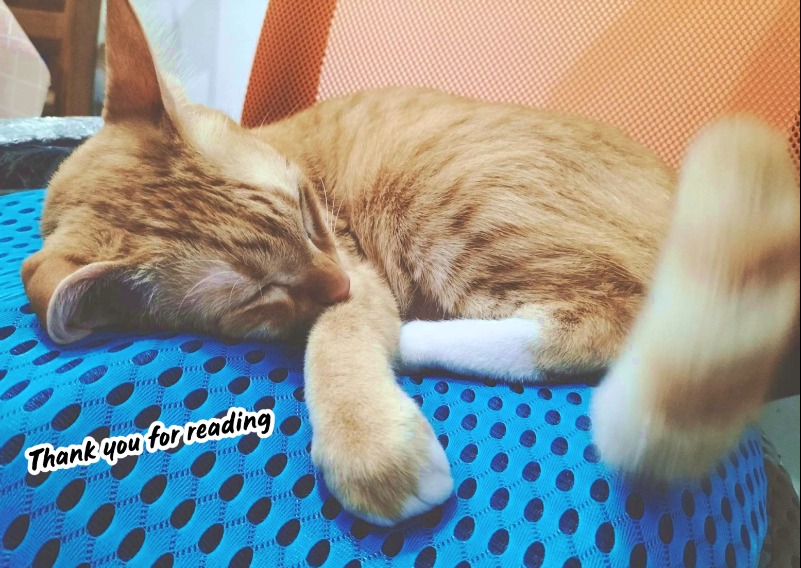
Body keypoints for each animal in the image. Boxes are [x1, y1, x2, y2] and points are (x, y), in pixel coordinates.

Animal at [21, 0, 800, 526]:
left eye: (305, 209)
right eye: (259, 297)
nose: (333, 284)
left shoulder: (357, 265)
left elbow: (332, 346)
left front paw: (368, 446)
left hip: (454, 202)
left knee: (612, 317)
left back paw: (420, 334)